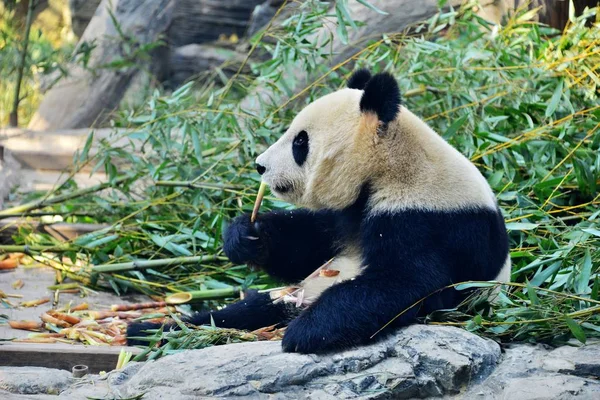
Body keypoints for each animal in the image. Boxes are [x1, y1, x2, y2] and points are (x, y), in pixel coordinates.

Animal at [127, 69, 510, 354]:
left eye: (300, 141)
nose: (260, 165)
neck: (388, 166)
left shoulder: (427, 219)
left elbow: (405, 281)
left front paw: (307, 333)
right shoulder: (348, 212)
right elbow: (308, 244)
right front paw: (245, 236)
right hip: (287, 296)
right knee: (241, 310)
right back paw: (152, 329)